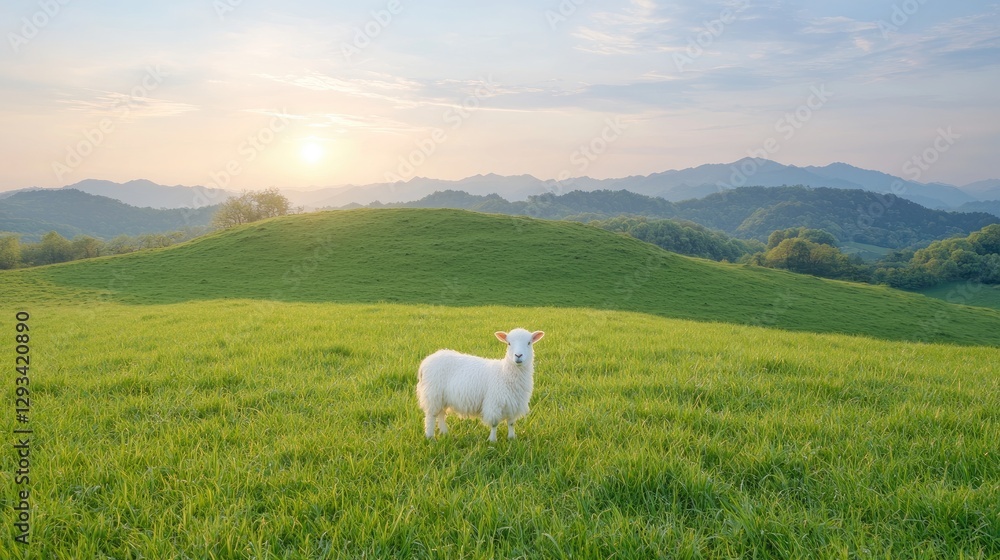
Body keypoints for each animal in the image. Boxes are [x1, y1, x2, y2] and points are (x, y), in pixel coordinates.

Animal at [417, 328, 545, 442]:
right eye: (509, 343)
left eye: (529, 343)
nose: (518, 355)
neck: (504, 372)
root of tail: (426, 361)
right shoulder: (494, 402)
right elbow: (494, 424)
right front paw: (492, 441)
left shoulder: (514, 403)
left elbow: (511, 423)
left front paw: (512, 438)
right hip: (432, 394)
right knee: (431, 416)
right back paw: (430, 437)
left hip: (442, 397)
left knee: (441, 414)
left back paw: (444, 433)